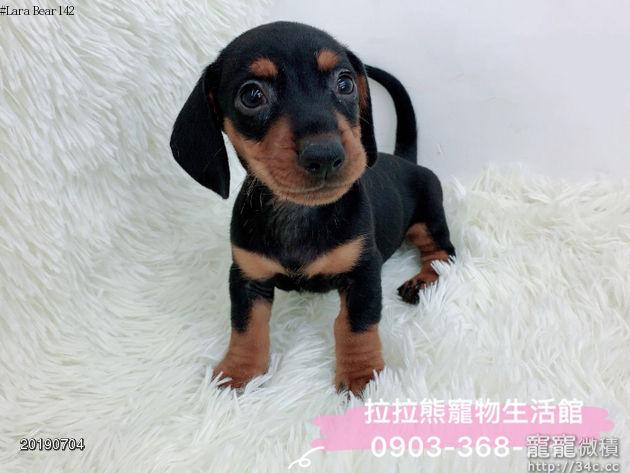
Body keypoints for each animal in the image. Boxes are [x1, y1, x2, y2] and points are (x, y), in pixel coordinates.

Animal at [170, 21, 455, 395]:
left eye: (345, 83)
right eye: (252, 95)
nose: (325, 155)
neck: (300, 212)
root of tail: (407, 160)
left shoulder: (364, 271)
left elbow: (355, 324)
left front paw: (362, 377)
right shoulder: (246, 276)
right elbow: (246, 326)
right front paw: (238, 371)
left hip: (429, 217)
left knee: (443, 253)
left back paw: (421, 281)